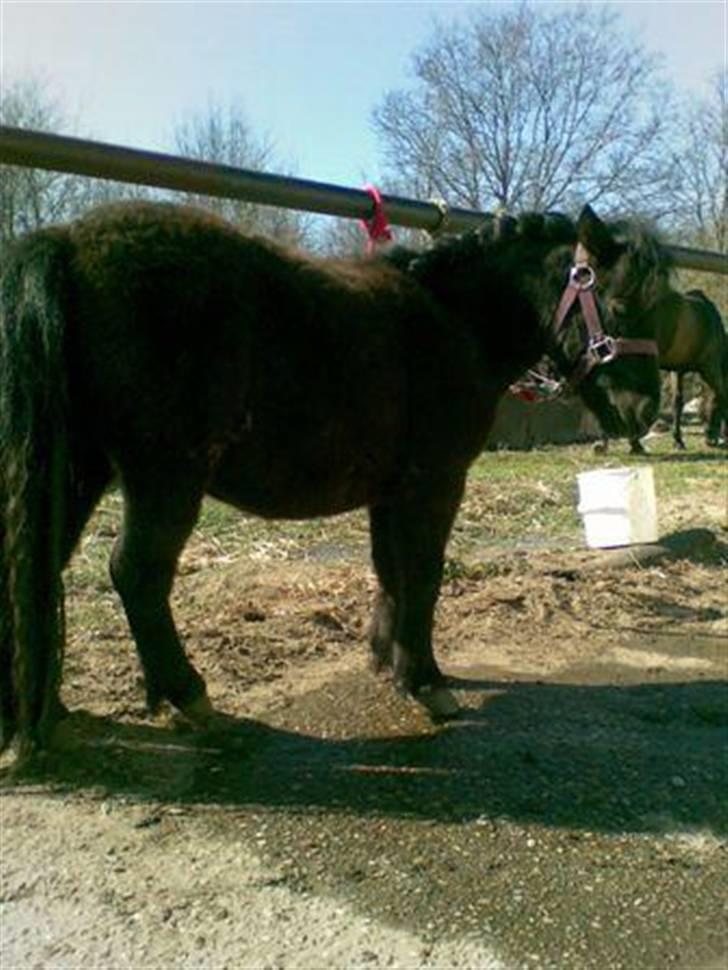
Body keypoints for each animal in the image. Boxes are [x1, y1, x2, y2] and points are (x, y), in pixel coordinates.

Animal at [1, 202, 672, 764]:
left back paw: (46, 710)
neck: (453, 320)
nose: (645, 410)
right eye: (620, 302)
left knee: (39, 571)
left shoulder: (391, 492)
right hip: (164, 475)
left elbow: (391, 573)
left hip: (81, 469)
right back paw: (188, 696)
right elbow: (424, 575)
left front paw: (388, 658)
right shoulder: (434, 485)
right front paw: (425, 679)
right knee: (135, 574)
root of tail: (66, 241)